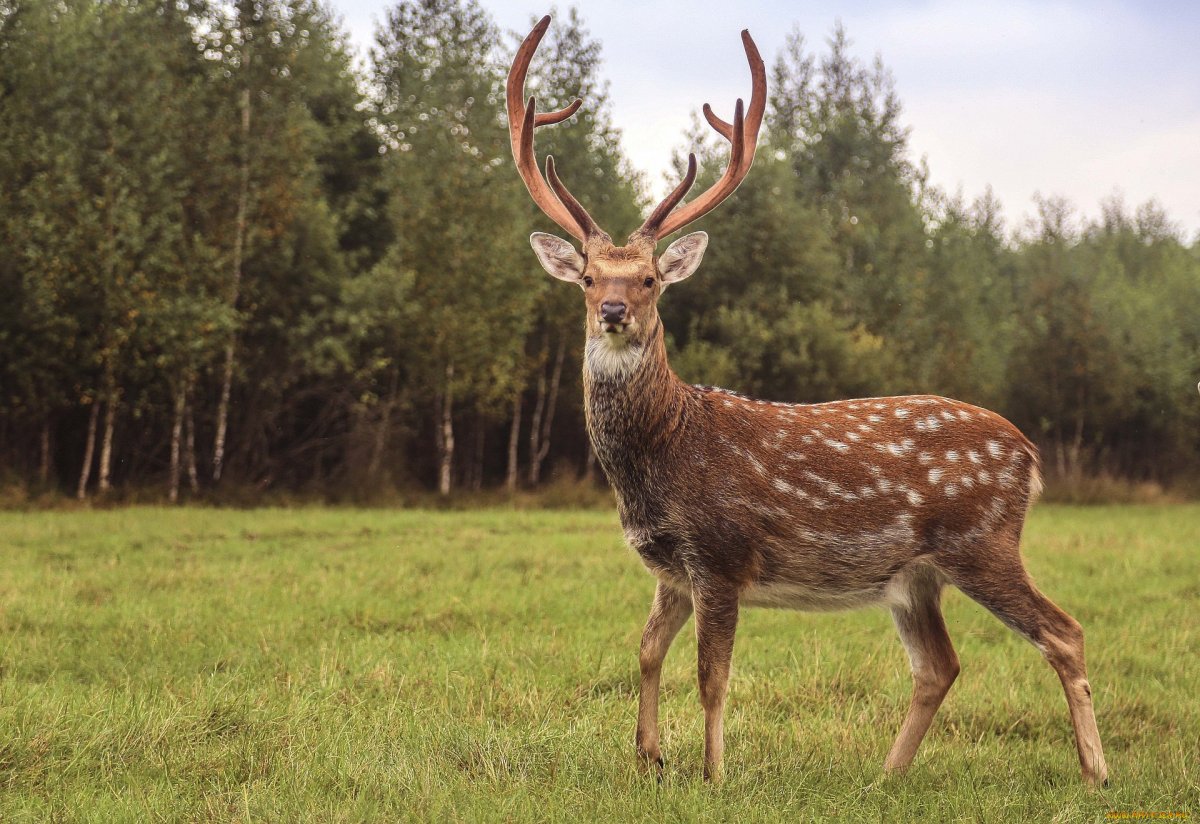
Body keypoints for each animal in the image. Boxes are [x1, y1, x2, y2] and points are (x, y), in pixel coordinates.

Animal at [508, 15, 1108, 786]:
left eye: (649, 279)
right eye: (586, 277)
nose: (613, 310)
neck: (662, 457)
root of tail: (1029, 456)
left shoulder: (722, 552)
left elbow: (712, 675)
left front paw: (713, 774)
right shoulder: (670, 568)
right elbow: (645, 652)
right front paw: (649, 757)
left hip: (983, 540)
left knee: (1063, 631)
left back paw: (1095, 772)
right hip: (915, 576)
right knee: (940, 665)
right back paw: (884, 776)